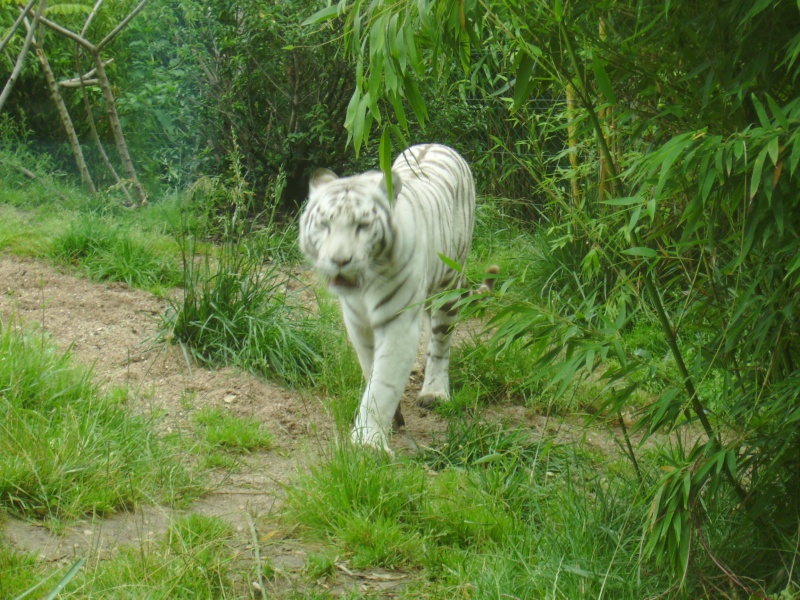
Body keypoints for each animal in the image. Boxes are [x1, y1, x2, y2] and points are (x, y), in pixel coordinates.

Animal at [300, 144, 476, 450]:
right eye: (325, 225)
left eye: (362, 226)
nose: (339, 260)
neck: (363, 287)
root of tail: (437, 144)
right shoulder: (358, 323)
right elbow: (371, 367)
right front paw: (391, 420)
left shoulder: (398, 321)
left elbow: (383, 381)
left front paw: (368, 443)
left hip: (449, 284)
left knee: (440, 342)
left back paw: (434, 393)